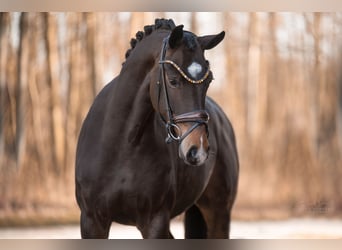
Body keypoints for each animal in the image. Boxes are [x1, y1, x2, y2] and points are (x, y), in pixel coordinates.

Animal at [76, 19, 239, 238]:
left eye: (208, 81)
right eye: (173, 81)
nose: (198, 149)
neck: (122, 144)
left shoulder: (155, 221)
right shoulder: (92, 221)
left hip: (219, 212)